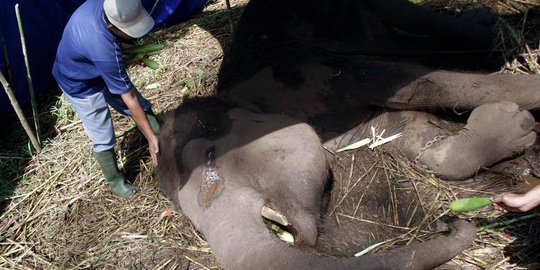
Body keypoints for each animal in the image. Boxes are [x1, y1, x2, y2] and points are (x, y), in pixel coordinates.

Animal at [154, 0, 536, 268]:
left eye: (210, 155)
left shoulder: (316, 71)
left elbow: (421, 85)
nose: (450, 224)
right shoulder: (347, 128)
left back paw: (490, 29)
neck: (240, 94)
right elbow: (407, 133)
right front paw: (513, 125)